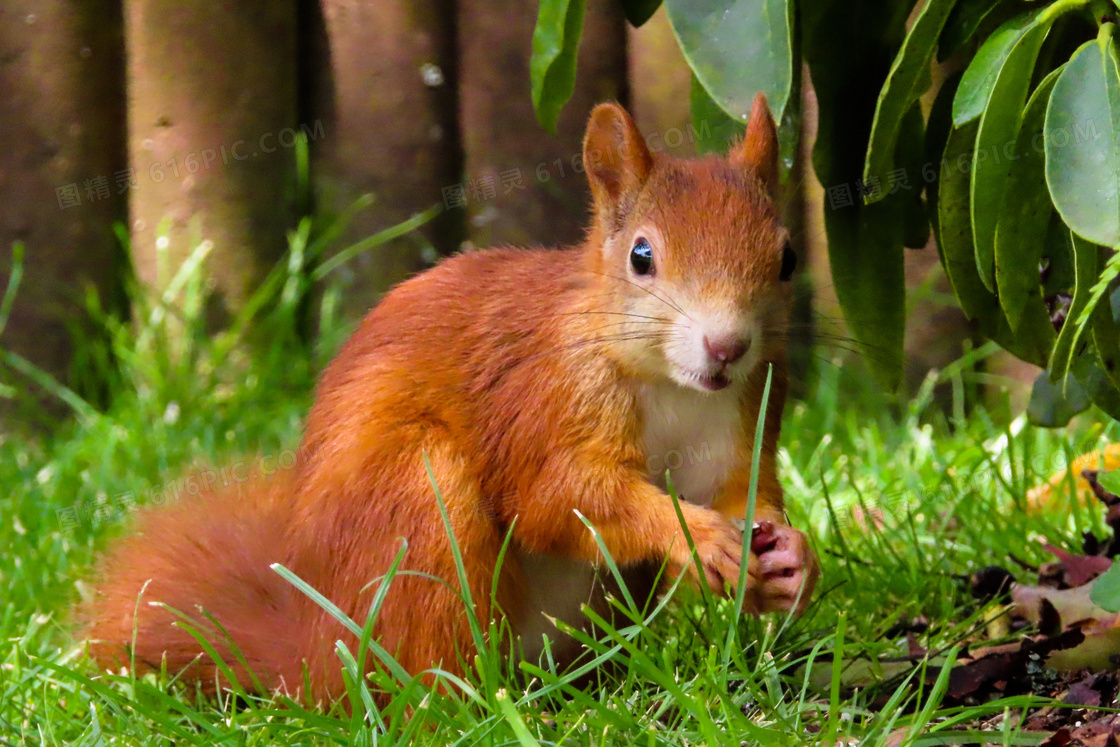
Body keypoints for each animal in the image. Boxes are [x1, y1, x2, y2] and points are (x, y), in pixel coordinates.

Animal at [85, 91, 824, 703]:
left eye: (787, 257)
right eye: (642, 256)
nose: (726, 346)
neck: (671, 385)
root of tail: (315, 660)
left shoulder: (747, 409)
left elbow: (744, 493)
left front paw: (793, 557)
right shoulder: (541, 400)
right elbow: (556, 496)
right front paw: (695, 535)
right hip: (414, 506)